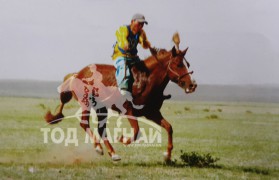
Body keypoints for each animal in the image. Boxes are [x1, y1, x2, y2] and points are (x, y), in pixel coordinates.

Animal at [44, 38, 197, 162]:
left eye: (186, 64)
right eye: (178, 64)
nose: (192, 85)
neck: (145, 81)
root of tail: (77, 74)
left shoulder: (152, 113)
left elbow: (169, 127)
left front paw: (167, 155)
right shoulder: (128, 111)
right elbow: (136, 132)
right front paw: (122, 139)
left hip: (101, 108)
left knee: (101, 129)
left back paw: (113, 154)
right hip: (87, 104)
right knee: (84, 123)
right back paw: (98, 148)